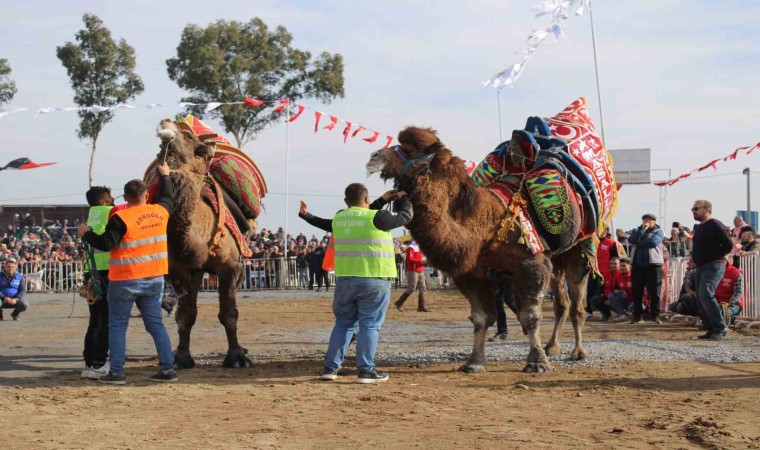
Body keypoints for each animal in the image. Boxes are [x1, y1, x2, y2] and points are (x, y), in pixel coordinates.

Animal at [151, 119, 252, 369]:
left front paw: (237, 357)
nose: (165, 122)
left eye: (188, 136)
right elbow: (186, 314)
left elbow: (229, 313)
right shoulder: (181, 269)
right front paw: (181, 358)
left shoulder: (229, 267)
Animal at [366, 127, 594, 373]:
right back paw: (552, 346)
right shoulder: (473, 272)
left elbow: (531, 316)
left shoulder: (532, 263)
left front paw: (537, 362)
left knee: (576, 303)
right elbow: (480, 318)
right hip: (555, 262)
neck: (487, 224)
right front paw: (474, 362)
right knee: (562, 303)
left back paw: (578, 352)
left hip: (579, 249)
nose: (374, 157)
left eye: (409, 150)